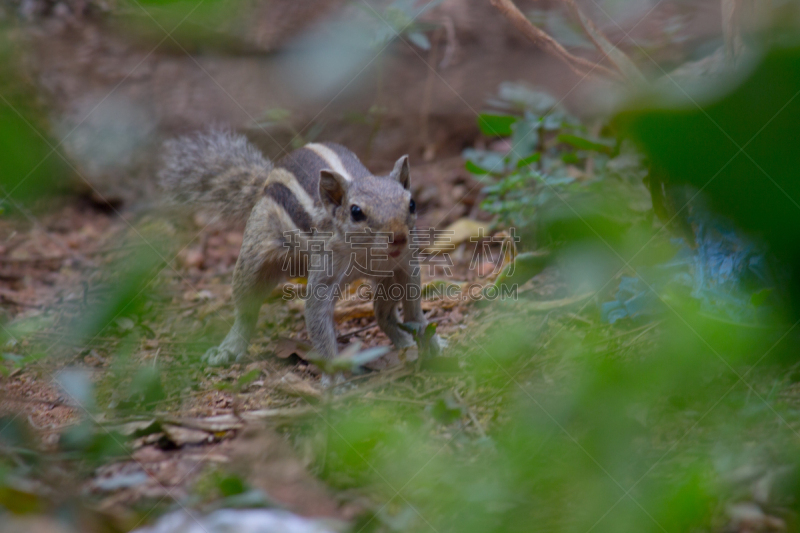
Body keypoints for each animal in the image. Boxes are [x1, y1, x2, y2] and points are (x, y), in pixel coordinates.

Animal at [159, 129, 440, 366]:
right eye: (356, 212)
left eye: (412, 204)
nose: (399, 237)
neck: (368, 253)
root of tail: (266, 179)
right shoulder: (325, 271)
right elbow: (317, 314)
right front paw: (336, 379)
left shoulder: (405, 264)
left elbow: (413, 303)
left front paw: (428, 335)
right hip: (255, 256)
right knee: (246, 309)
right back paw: (229, 348)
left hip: (386, 280)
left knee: (383, 316)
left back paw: (404, 341)